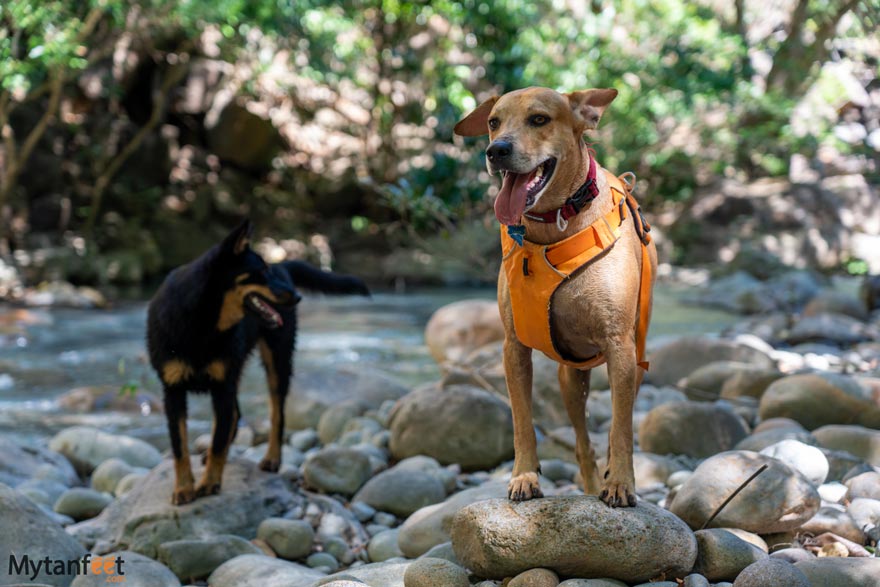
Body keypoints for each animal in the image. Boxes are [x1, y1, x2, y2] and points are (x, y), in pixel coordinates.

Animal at [148, 220, 368, 506]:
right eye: (261, 271)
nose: (297, 296)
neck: (202, 323)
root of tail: (283, 265)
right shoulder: (173, 392)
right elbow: (179, 446)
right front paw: (184, 487)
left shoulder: (222, 387)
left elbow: (218, 440)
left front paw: (209, 483)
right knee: (237, 415)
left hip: (276, 362)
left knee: (277, 414)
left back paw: (272, 459)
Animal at [458, 85, 656, 508]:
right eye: (493, 122)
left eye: (539, 119)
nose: (496, 150)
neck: (556, 225)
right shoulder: (513, 347)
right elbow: (522, 421)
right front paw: (524, 476)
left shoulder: (620, 346)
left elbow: (621, 427)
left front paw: (622, 482)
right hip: (570, 378)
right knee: (582, 442)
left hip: (634, 361)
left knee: (615, 424)